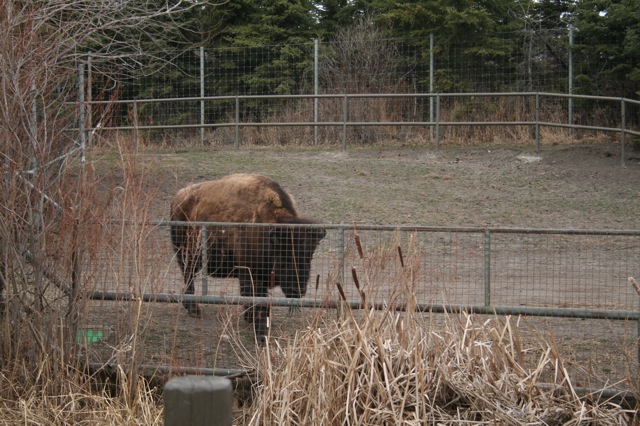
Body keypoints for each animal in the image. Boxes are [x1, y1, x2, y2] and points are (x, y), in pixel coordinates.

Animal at [170, 173, 325, 343]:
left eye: (309, 256)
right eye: (285, 256)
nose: (298, 290)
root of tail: (178, 198)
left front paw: (251, 319)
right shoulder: (251, 274)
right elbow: (257, 300)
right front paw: (261, 333)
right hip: (186, 256)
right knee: (189, 278)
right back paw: (194, 309)